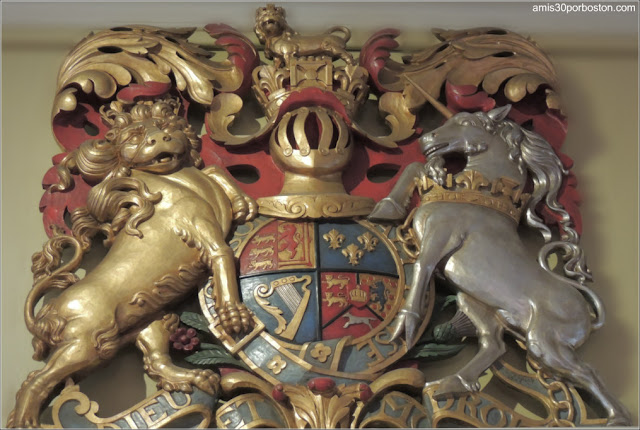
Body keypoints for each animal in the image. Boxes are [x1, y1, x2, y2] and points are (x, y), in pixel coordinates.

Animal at [8, 96, 256, 426]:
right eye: (135, 137)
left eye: (163, 125)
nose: (158, 138)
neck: (181, 184)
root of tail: (52, 309)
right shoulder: (196, 225)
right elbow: (222, 254)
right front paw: (234, 316)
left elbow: (216, 169)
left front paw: (244, 204)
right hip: (85, 344)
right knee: (37, 379)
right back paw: (25, 420)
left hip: (146, 322)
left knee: (155, 360)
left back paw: (193, 379)